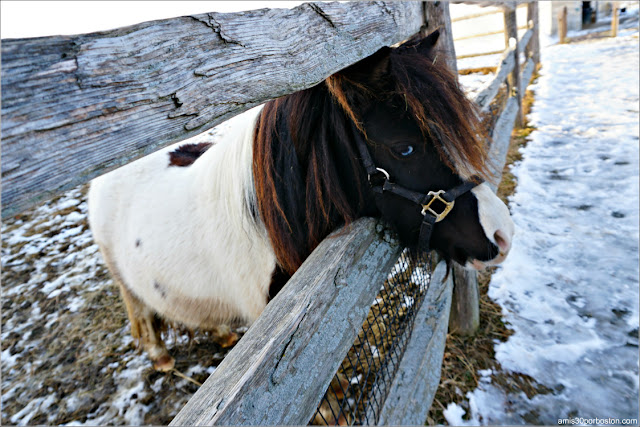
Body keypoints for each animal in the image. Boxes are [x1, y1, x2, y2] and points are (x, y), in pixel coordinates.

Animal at [86, 30, 516, 372]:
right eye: (404, 148)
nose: (503, 234)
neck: (263, 230)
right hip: (124, 279)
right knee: (141, 310)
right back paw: (160, 356)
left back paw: (223, 335)